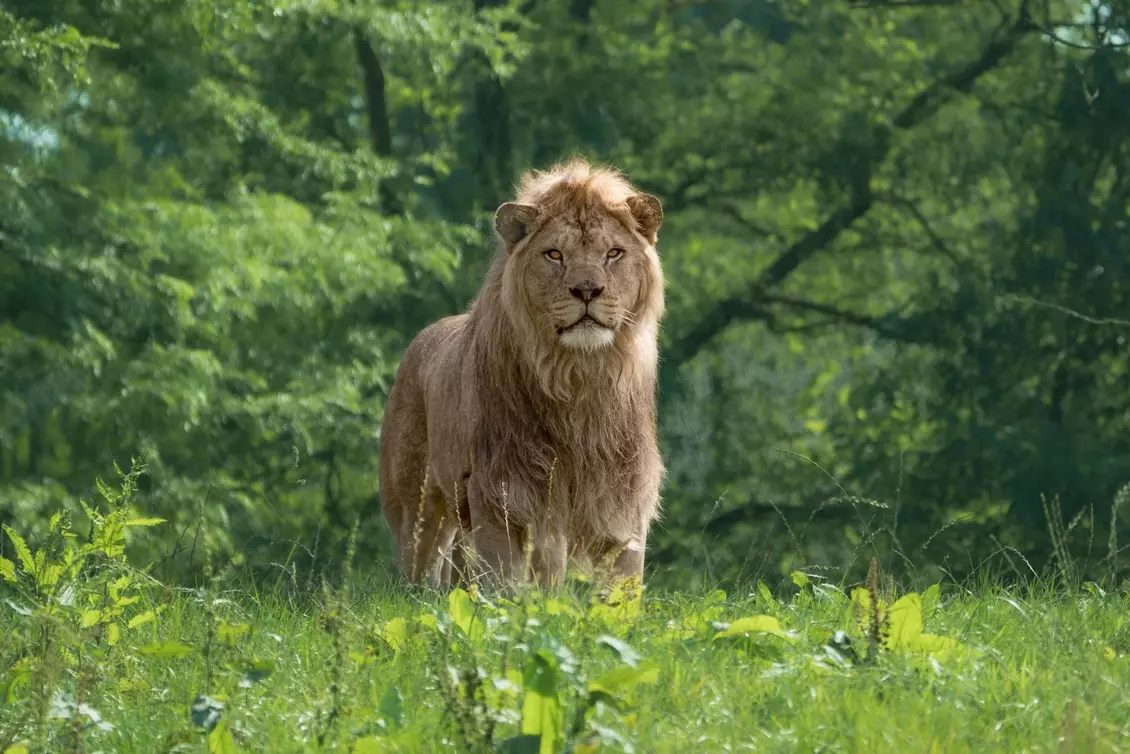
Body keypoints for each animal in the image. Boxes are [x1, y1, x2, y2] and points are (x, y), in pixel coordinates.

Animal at [378, 157, 666, 589]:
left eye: (613, 253)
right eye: (554, 255)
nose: (587, 290)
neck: (577, 376)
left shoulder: (621, 495)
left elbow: (619, 586)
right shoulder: (501, 491)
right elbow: (505, 585)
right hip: (417, 508)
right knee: (418, 571)